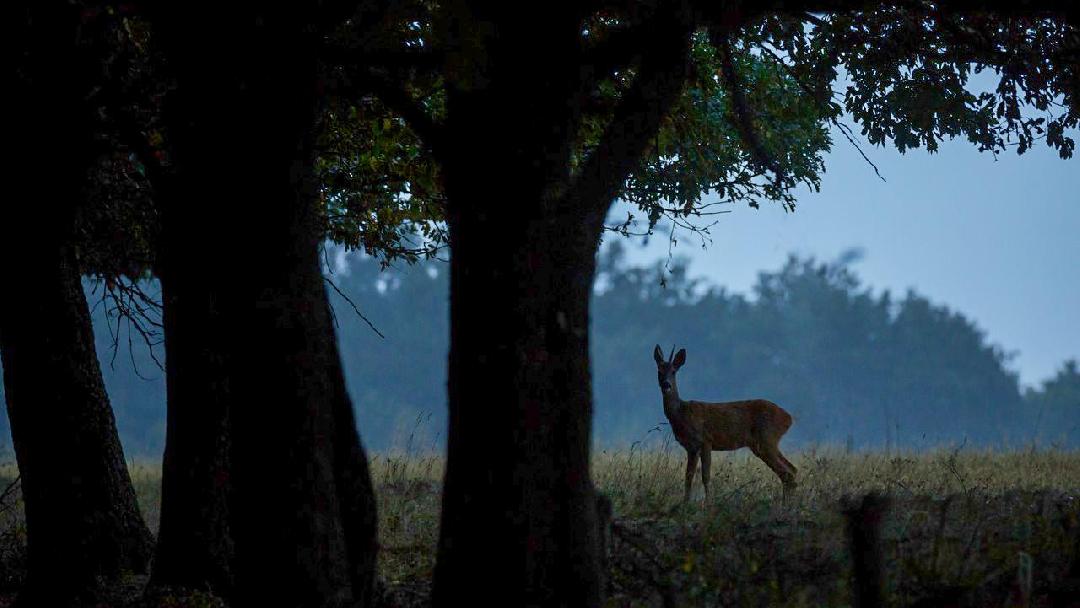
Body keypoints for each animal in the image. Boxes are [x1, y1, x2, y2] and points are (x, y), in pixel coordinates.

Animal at [652, 345, 799, 501]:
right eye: (659, 370)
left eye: (674, 371)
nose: (666, 385)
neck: (681, 414)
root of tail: (788, 418)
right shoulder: (691, 448)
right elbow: (688, 477)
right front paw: (685, 502)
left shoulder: (705, 441)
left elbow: (705, 477)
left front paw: (708, 503)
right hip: (762, 444)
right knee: (791, 470)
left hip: (767, 439)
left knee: (788, 473)